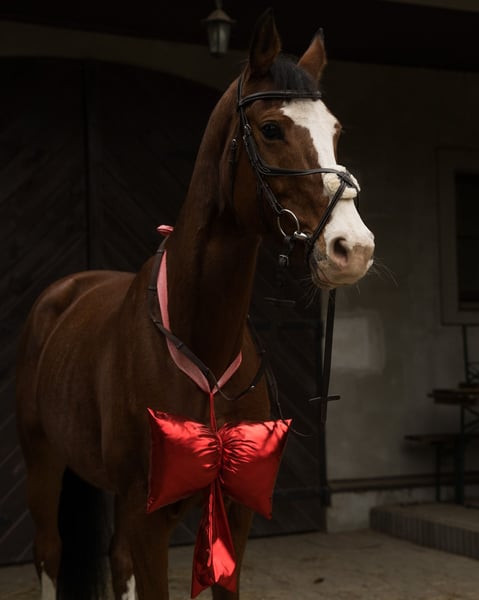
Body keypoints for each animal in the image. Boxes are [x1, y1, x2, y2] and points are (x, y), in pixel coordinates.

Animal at [15, 9, 375, 600]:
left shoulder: (237, 508)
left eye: (336, 131)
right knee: (50, 552)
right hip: (42, 457)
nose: (353, 247)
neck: (202, 341)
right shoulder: (146, 516)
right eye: (271, 129)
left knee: (115, 560)